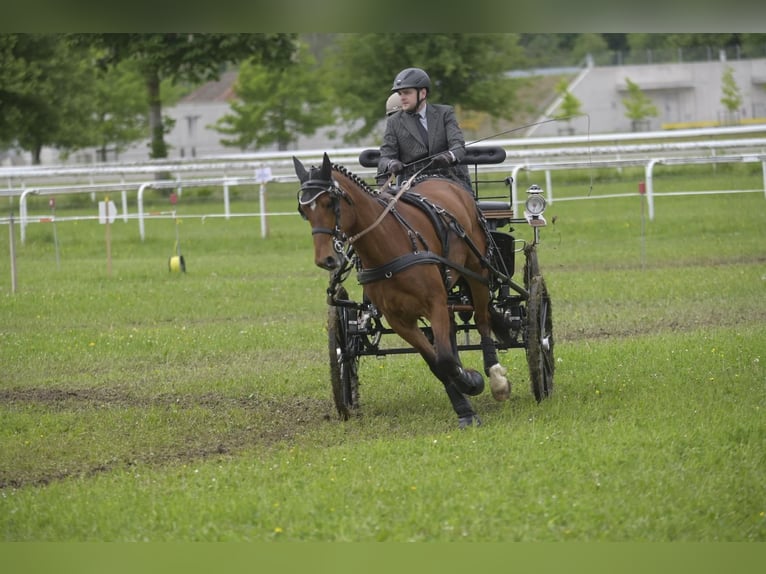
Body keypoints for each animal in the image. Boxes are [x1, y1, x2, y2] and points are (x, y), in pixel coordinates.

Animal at [296, 155, 510, 430]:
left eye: (329, 202)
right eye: (304, 211)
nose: (326, 259)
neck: (389, 246)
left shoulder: (435, 303)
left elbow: (445, 360)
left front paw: (473, 382)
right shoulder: (400, 321)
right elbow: (438, 363)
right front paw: (465, 406)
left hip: (478, 270)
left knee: (483, 320)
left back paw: (496, 378)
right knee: (453, 333)